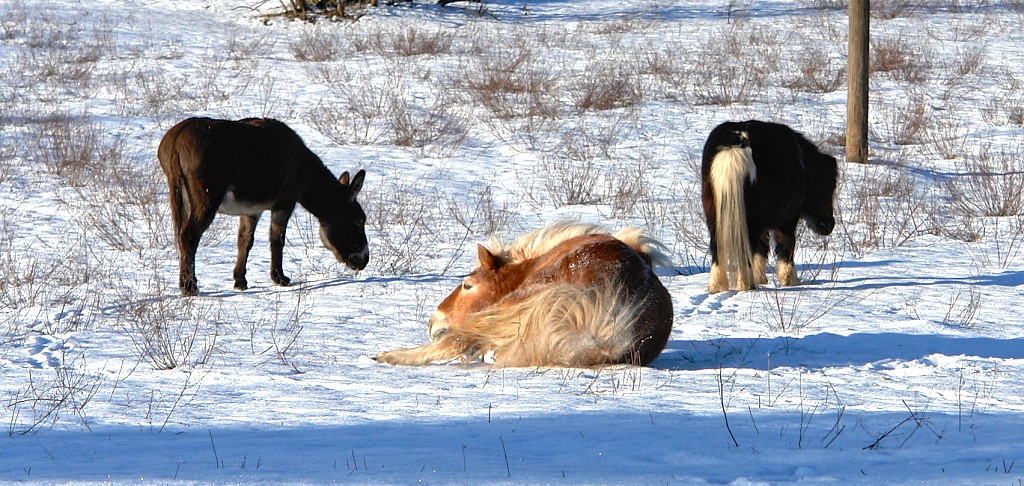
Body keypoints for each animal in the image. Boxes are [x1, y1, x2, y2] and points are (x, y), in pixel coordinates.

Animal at [159, 118, 368, 296]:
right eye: (359, 220)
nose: (364, 261)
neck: (303, 167)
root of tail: (177, 138)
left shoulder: (251, 210)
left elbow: (245, 241)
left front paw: (240, 281)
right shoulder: (284, 204)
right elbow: (277, 240)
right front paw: (279, 278)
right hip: (206, 198)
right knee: (189, 236)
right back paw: (190, 287)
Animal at [704, 120, 839, 294]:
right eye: (830, 185)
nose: (827, 225)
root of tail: (737, 141)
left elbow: (762, 248)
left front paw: (761, 278)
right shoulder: (788, 220)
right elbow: (786, 245)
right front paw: (789, 279)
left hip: (715, 216)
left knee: (717, 247)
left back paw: (718, 286)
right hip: (750, 220)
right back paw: (747, 284)